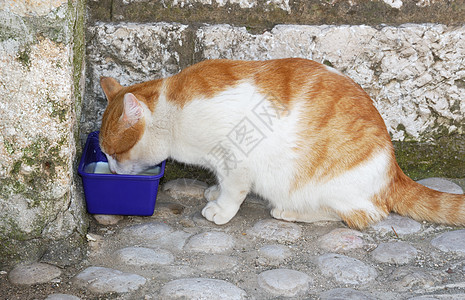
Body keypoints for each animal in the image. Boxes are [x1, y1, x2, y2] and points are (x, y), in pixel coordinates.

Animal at [98, 57, 464, 229]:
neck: (172, 108)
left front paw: (222, 208)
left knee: (360, 215)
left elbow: (234, 189)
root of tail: (393, 169)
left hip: (329, 187)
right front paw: (214, 192)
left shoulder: (236, 158)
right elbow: (221, 182)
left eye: (115, 153)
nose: (112, 172)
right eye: (105, 155)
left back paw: (290, 211)